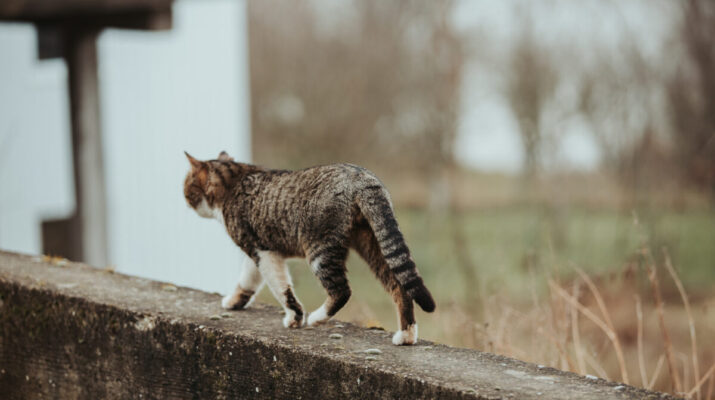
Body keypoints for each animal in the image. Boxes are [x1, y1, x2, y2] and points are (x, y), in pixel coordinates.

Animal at [183, 150, 436, 344]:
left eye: (186, 187)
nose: (184, 200)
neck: (235, 180)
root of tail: (361, 177)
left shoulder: (263, 252)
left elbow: (281, 288)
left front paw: (295, 318)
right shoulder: (258, 250)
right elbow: (248, 279)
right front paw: (235, 301)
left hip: (319, 251)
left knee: (342, 291)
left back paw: (316, 318)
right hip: (373, 242)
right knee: (400, 286)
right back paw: (406, 336)